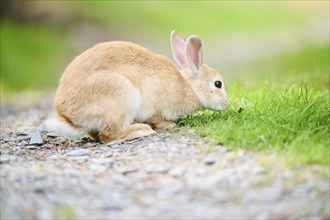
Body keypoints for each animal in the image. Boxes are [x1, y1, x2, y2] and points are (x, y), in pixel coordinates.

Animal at [45, 31, 231, 144]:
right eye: (218, 84)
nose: (228, 104)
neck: (189, 86)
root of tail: (68, 116)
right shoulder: (155, 106)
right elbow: (156, 118)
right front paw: (168, 126)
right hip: (123, 95)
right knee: (108, 135)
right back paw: (141, 131)